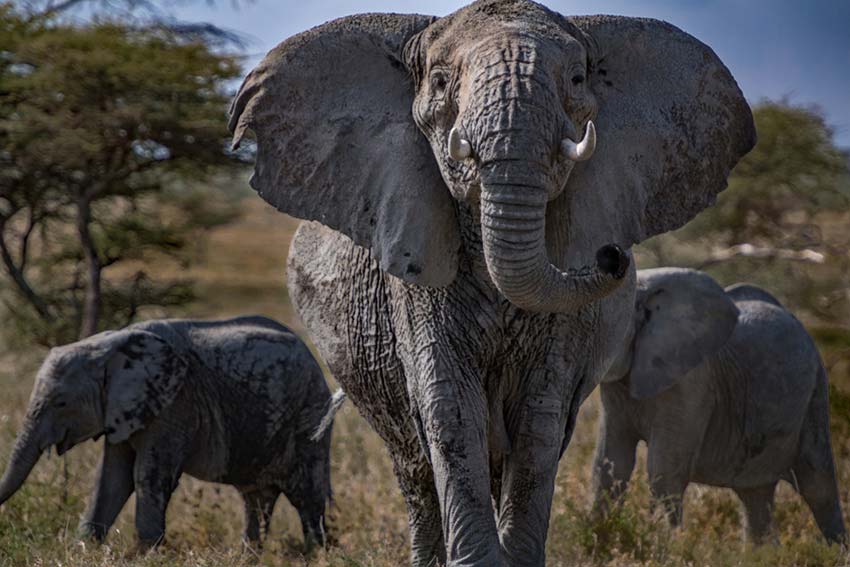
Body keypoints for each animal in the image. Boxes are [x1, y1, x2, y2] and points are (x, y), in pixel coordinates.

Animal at [0, 316, 335, 549]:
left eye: (61, 403)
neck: (110, 346)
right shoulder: (125, 410)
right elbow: (112, 477)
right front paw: (84, 549)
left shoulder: (174, 403)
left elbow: (147, 475)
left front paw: (145, 554)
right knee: (256, 499)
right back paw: (249, 556)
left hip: (309, 420)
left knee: (306, 496)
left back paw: (316, 555)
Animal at [228, 1, 755, 564]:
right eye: (440, 82)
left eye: (576, 78)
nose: (612, 255)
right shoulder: (415, 281)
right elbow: (450, 407)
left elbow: (540, 413)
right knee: (415, 469)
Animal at [592, 268, 847, 545]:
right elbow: (610, 465)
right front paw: (600, 541)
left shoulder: (691, 384)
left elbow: (663, 471)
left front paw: (663, 547)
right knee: (755, 497)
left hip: (815, 394)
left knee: (818, 485)